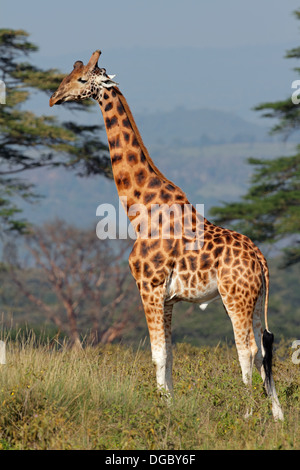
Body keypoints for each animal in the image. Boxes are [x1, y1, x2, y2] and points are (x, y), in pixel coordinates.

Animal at [49, 49, 284, 420]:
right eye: (67, 76)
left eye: (82, 79)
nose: (55, 97)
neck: (139, 209)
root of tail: (261, 260)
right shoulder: (168, 297)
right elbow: (170, 355)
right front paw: (169, 404)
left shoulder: (149, 286)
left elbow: (158, 353)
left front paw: (163, 410)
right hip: (254, 298)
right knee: (265, 347)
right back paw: (277, 416)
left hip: (236, 297)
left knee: (247, 349)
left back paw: (247, 413)